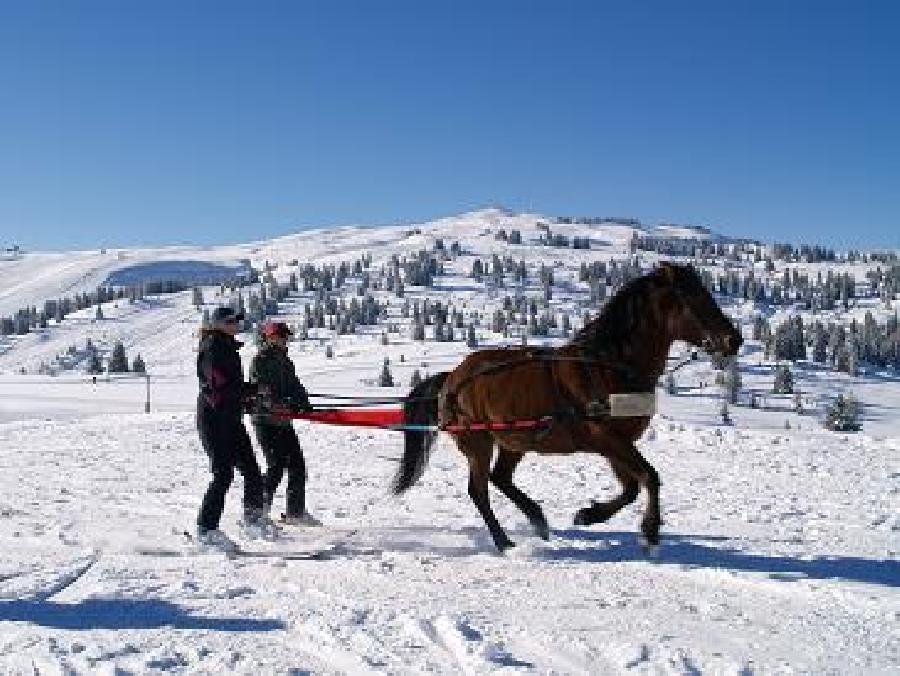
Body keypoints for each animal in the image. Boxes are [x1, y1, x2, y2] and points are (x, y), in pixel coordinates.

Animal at [398, 262, 740, 552]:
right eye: (691, 297)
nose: (733, 340)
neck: (610, 366)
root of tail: (452, 377)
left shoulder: (616, 442)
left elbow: (632, 485)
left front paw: (589, 515)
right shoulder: (605, 437)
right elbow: (649, 477)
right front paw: (650, 531)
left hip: (515, 439)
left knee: (501, 478)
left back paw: (538, 519)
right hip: (478, 441)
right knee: (479, 490)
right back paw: (504, 541)